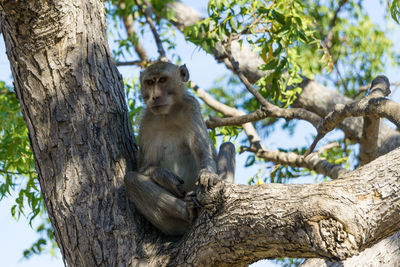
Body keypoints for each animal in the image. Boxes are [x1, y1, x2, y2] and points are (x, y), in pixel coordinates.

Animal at [125, 61, 236, 236]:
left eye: (162, 80)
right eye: (149, 82)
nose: (155, 97)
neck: (167, 114)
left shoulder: (191, 107)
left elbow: (204, 153)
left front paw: (207, 174)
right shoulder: (146, 121)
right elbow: (144, 166)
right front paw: (164, 177)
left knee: (228, 145)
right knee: (131, 179)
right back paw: (187, 212)